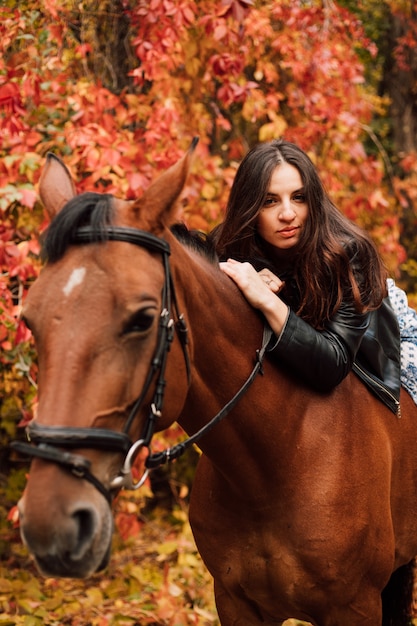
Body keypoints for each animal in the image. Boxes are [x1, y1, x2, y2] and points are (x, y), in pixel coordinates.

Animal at [12, 141, 417, 624]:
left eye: (142, 319)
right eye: (29, 320)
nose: (48, 524)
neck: (281, 458)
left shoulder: (354, 607)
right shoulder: (235, 602)